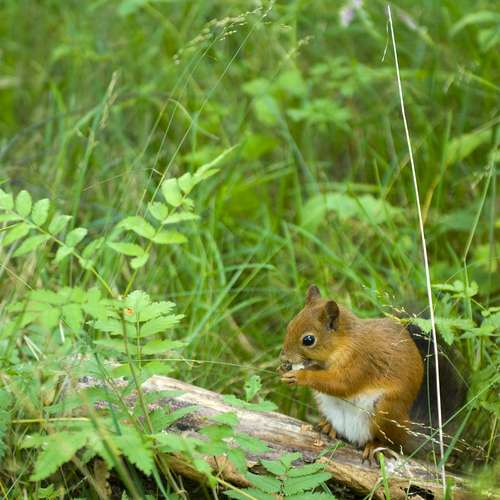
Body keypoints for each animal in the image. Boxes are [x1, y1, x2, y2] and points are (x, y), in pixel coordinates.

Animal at [279, 284, 466, 462]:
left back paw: (374, 446)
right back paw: (329, 426)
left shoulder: (361, 362)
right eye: (289, 326)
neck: (343, 343)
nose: (284, 357)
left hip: (385, 411)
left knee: (387, 441)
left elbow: (341, 384)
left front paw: (300, 376)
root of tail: (405, 431)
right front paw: (284, 368)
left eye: (308, 340)